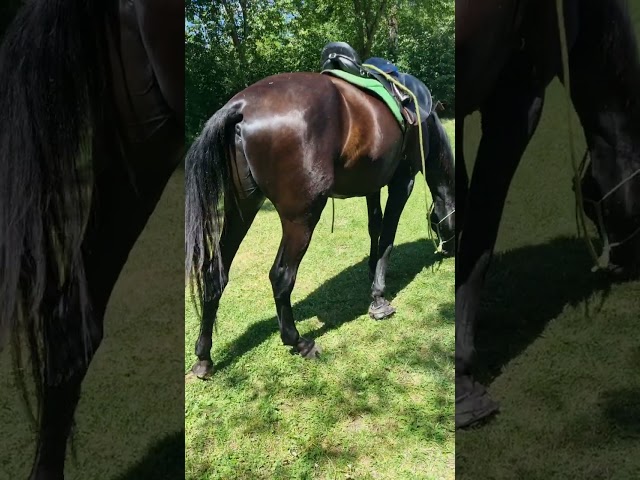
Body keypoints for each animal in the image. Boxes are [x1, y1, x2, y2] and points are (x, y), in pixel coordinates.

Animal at [185, 70, 456, 379]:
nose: (449, 250)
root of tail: (241, 106)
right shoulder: (403, 180)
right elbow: (388, 235)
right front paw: (378, 298)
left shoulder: (372, 182)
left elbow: (374, 226)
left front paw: (372, 271)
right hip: (301, 218)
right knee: (281, 276)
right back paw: (299, 341)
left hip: (241, 208)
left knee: (214, 274)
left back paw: (204, 357)